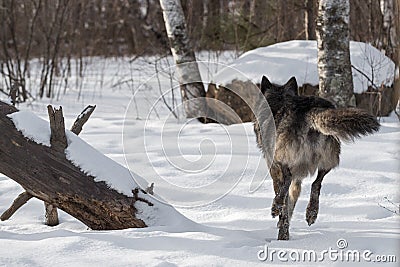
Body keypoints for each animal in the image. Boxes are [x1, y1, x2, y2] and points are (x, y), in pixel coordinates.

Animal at [255, 75, 380, 241]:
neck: (278, 101)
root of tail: (310, 110)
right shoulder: (298, 181)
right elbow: (290, 206)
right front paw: (284, 230)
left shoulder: (274, 169)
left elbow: (284, 202)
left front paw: (281, 227)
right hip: (329, 160)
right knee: (316, 184)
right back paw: (311, 213)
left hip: (282, 158)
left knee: (289, 180)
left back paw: (277, 207)